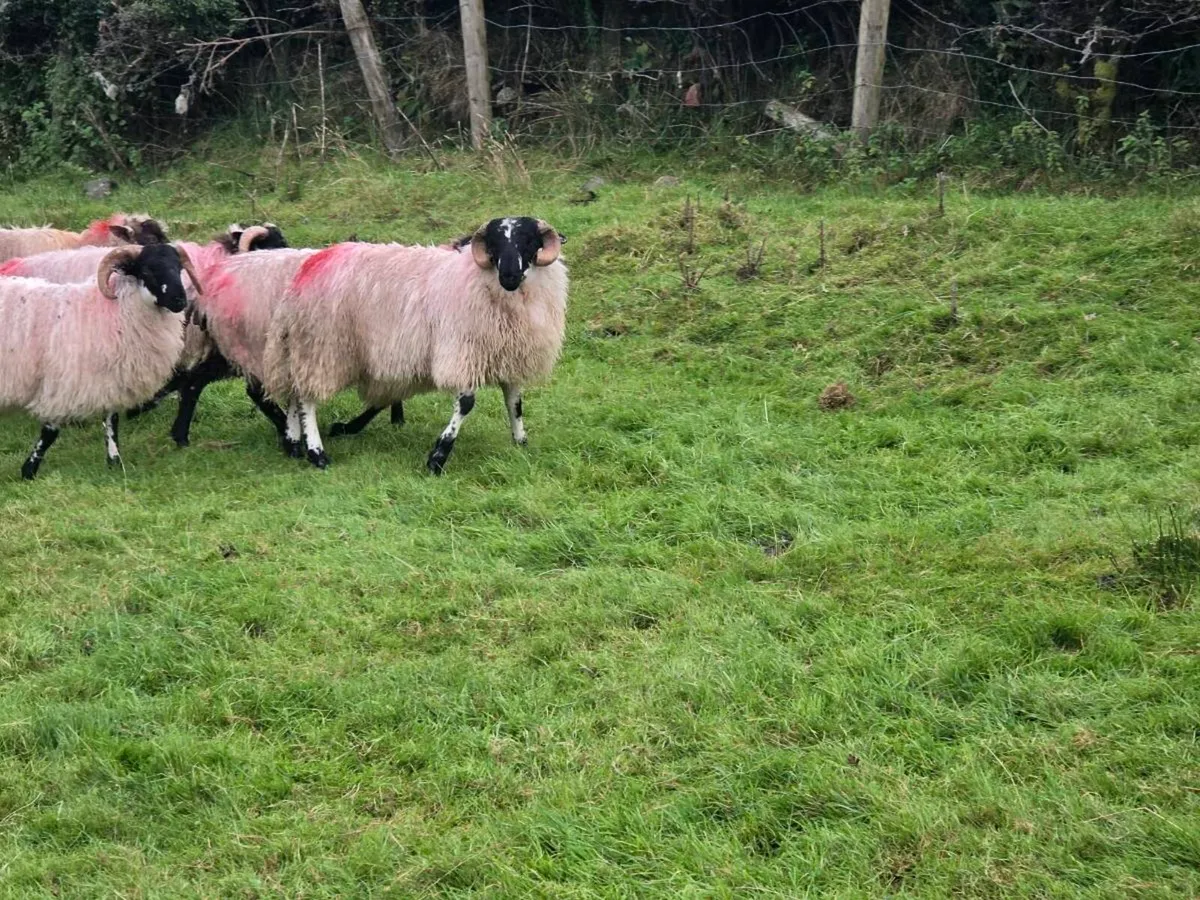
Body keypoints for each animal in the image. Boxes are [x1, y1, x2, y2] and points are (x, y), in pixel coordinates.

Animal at [0, 244, 203, 478]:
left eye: (179, 268)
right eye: (146, 270)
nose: (180, 301)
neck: (112, 312)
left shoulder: (111, 379)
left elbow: (111, 422)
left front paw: (115, 462)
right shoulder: (61, 384)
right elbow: (50, 432)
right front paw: (29, 470)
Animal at [261, 216, 567, 474]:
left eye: (529, 240)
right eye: (494, 243)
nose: (509, 276)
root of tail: (309, 266)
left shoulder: (510, 356)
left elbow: (514, 403)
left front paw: (520, 441)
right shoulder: (462, 352)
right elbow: (465, 404)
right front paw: (438, 456)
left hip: (306, 348)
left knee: (295, 392)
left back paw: (294, 442)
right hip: (321, 347)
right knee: (307, 398)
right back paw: (317, 452)